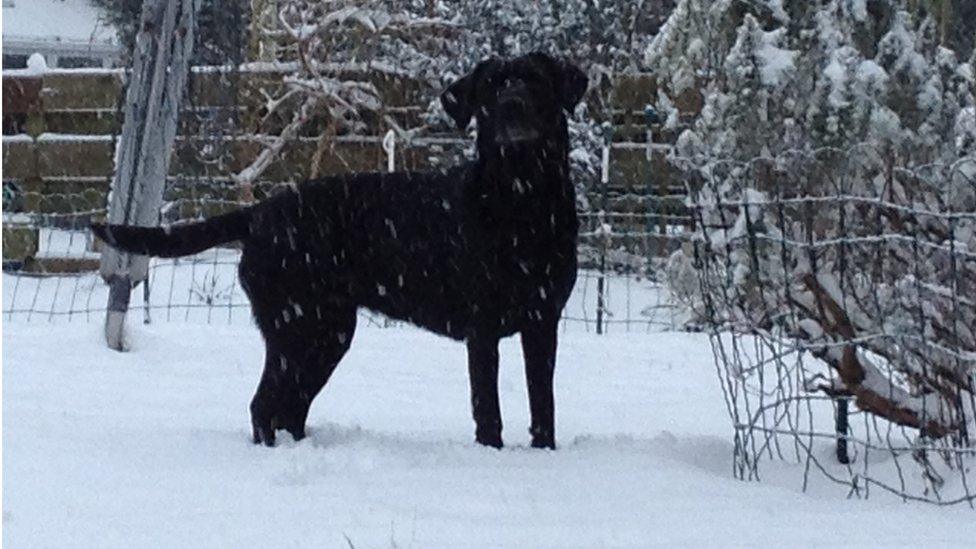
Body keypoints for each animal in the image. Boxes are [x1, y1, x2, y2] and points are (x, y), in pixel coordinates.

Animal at [93, 52, 588, 450]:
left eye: (535, 81)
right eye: (491, 87)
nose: (512, 105)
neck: (522, 200)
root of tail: (260, 212)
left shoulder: (543, 320)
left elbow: (543, 401)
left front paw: (545, 453)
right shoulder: (482, 327)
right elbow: (488, 406)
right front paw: (492, 454)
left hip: (325, 333)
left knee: (289, 407)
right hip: (299, 327)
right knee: (264, 405)